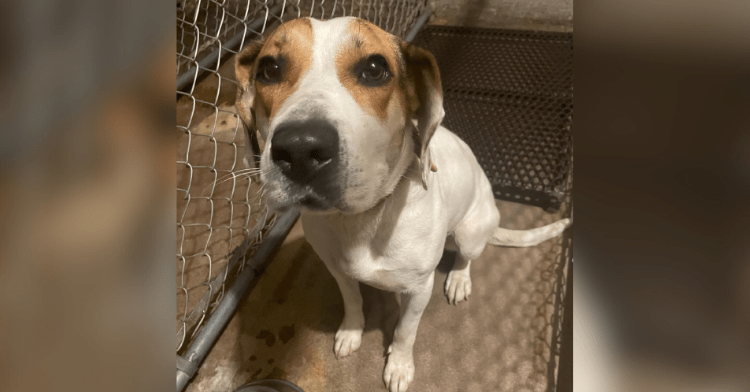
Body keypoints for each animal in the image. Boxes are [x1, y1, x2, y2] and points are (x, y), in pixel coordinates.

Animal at [238, 16, 572, 392]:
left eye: (374, 69)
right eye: (269, 69)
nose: (299, 150)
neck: (363, 219)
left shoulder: (418, 290)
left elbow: (405, 332)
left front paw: (399, 365)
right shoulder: (337, 270)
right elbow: (353, 301)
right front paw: (351, 332)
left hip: (471, 231)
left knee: (467, 257)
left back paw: (459, 279)